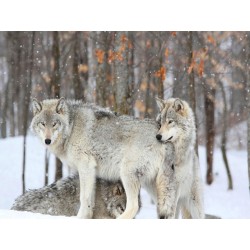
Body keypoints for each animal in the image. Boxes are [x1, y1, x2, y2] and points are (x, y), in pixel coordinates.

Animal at [30, 97, 176, 219]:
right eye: (42, 124)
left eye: (54, 124)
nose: (47, 140)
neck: (71, 128)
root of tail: (162, 137)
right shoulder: (91, 172)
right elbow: (90, 201)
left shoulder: (86, 167)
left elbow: (83, 198)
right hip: (154, 185)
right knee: (170, 210)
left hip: (127, 174)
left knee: (133, 206)